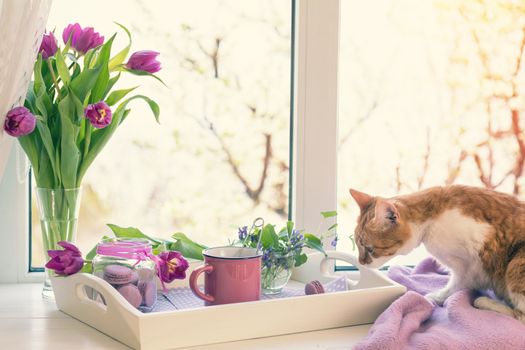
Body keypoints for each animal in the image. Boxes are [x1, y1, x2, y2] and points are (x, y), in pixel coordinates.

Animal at [348, 186, 524, 322]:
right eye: (357, 245)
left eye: (370, 249)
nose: (361, 262)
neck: (430, 220)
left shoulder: (472, 263)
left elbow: (455, 284)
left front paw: (434, 297)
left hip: (516, 264)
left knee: (520, 316)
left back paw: (485, 302)